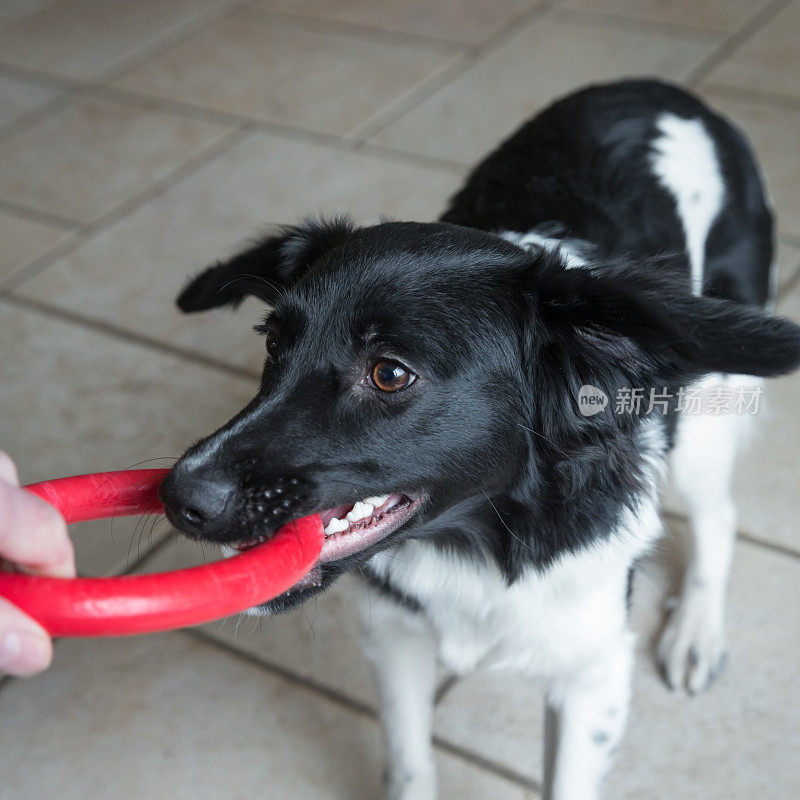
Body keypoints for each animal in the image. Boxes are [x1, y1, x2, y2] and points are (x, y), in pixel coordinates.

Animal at [156, 76, 800, 800]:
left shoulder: (594, 673)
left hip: (705, 411)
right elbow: (410, 763)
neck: (484, 540)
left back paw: (696, 630)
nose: (180, 498)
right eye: (273, 343)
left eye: (389, 373)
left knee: (720, 514)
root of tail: (663, 92)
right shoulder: (395, 637)